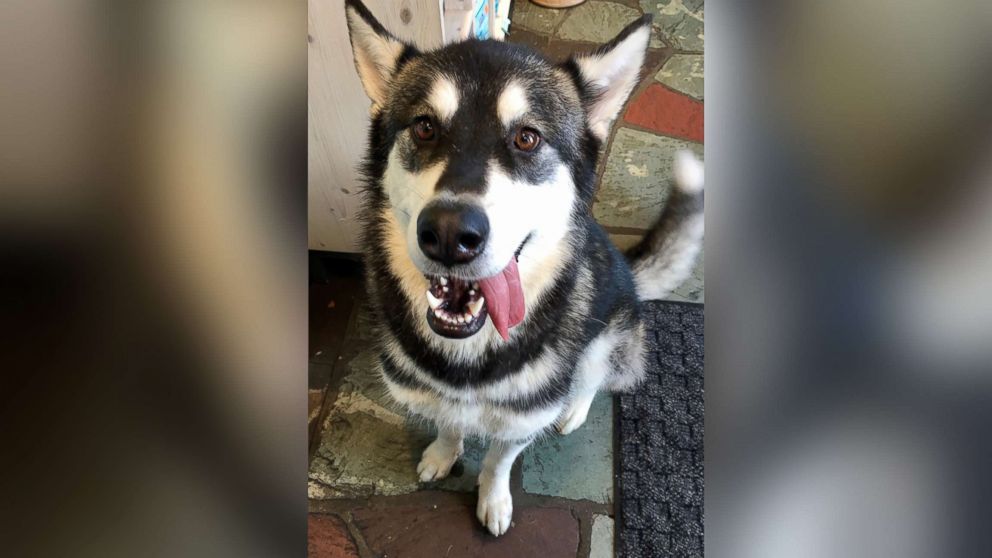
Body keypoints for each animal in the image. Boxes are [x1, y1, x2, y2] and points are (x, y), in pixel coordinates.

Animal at [344, 2, 700, 540]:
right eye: (425, 127)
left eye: (527, 138)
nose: (449, 232)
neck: (468, 359)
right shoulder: (434, 394)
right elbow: (449, 423)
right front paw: (443, 454)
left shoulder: (522, 419)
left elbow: (499, 460)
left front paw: (493, 500)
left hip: (610, 334)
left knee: (593, 374)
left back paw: (574, 408)